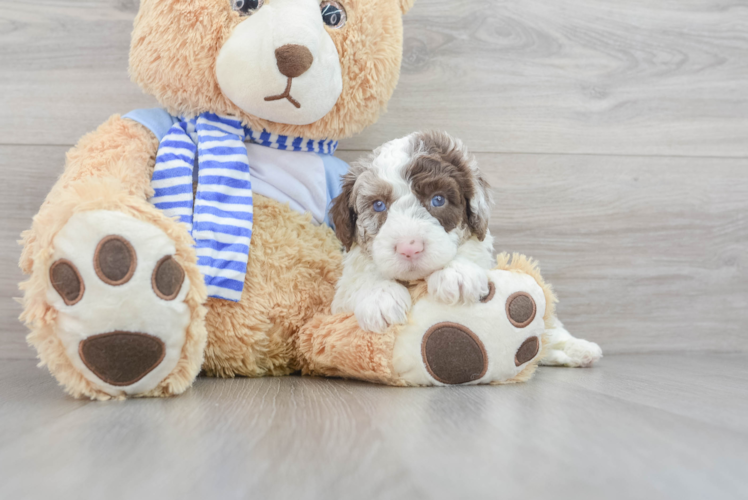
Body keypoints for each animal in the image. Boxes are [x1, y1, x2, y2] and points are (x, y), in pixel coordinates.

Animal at [330, 131, 494, 332]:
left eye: (438, 199)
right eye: (378, 205)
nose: (409, 248)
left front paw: (457, 272)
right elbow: (358, 277)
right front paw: (379, 295)